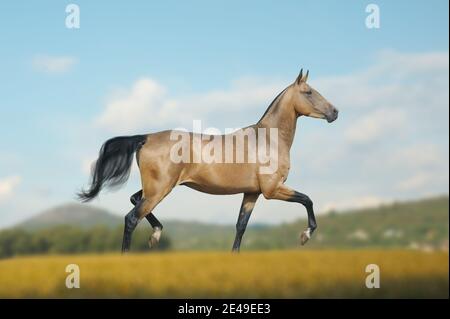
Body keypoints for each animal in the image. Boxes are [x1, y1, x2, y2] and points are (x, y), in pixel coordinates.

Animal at [78, 69, 338, 252]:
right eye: (308, 92)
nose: (334, 112)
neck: (267, 140)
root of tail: (145, 137)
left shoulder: (252, 193)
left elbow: (240, 227)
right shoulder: (272, 189)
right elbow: (308, 200)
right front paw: (305, 235)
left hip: (155, 188)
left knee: (134, 200)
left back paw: (156, 235)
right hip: (159, 190)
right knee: (131, 218)